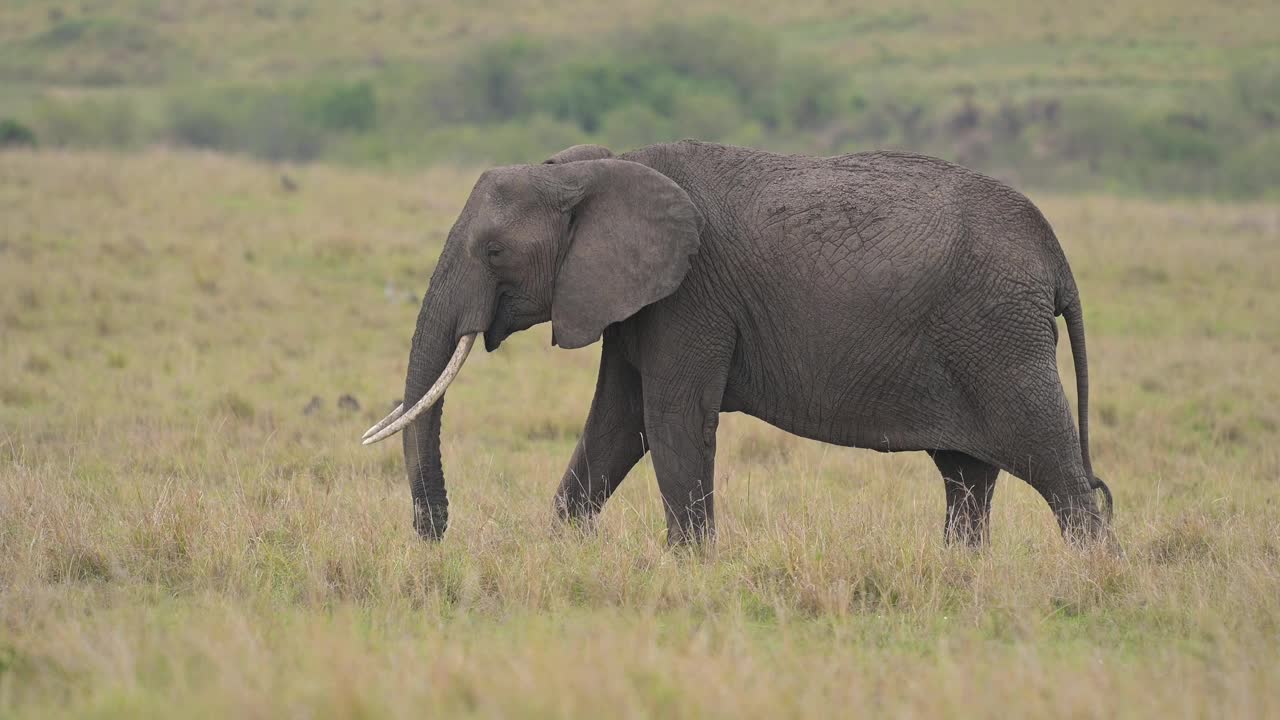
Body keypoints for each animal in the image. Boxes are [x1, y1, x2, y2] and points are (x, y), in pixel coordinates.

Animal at [360, 139, 1111, 543]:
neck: (598, 169)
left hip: (999, 339)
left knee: (1058, 472)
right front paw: (565, 551)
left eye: (492, 252)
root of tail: (1057, 257)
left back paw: (1092, 580)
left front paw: (689, 571)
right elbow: (616, 426)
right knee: (966, 478)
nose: (435, 539)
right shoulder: (634, 302)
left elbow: (669, 422)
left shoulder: (691, 297)